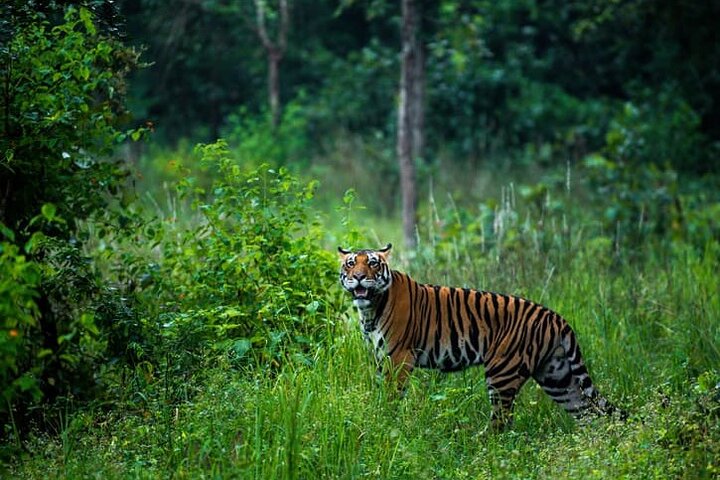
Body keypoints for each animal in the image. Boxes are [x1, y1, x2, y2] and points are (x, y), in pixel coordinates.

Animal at [338, 243, 624, 431]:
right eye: (351, 264)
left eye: (372, 263)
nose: (359, 278)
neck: (370, 308)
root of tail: (555, 317)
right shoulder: (380, 357)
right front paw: (378, 415)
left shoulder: (399, 357)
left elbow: (392, 394)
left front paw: (387, 421)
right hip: (556, 375)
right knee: (586, 411)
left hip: (502, 372)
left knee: (502, 421)